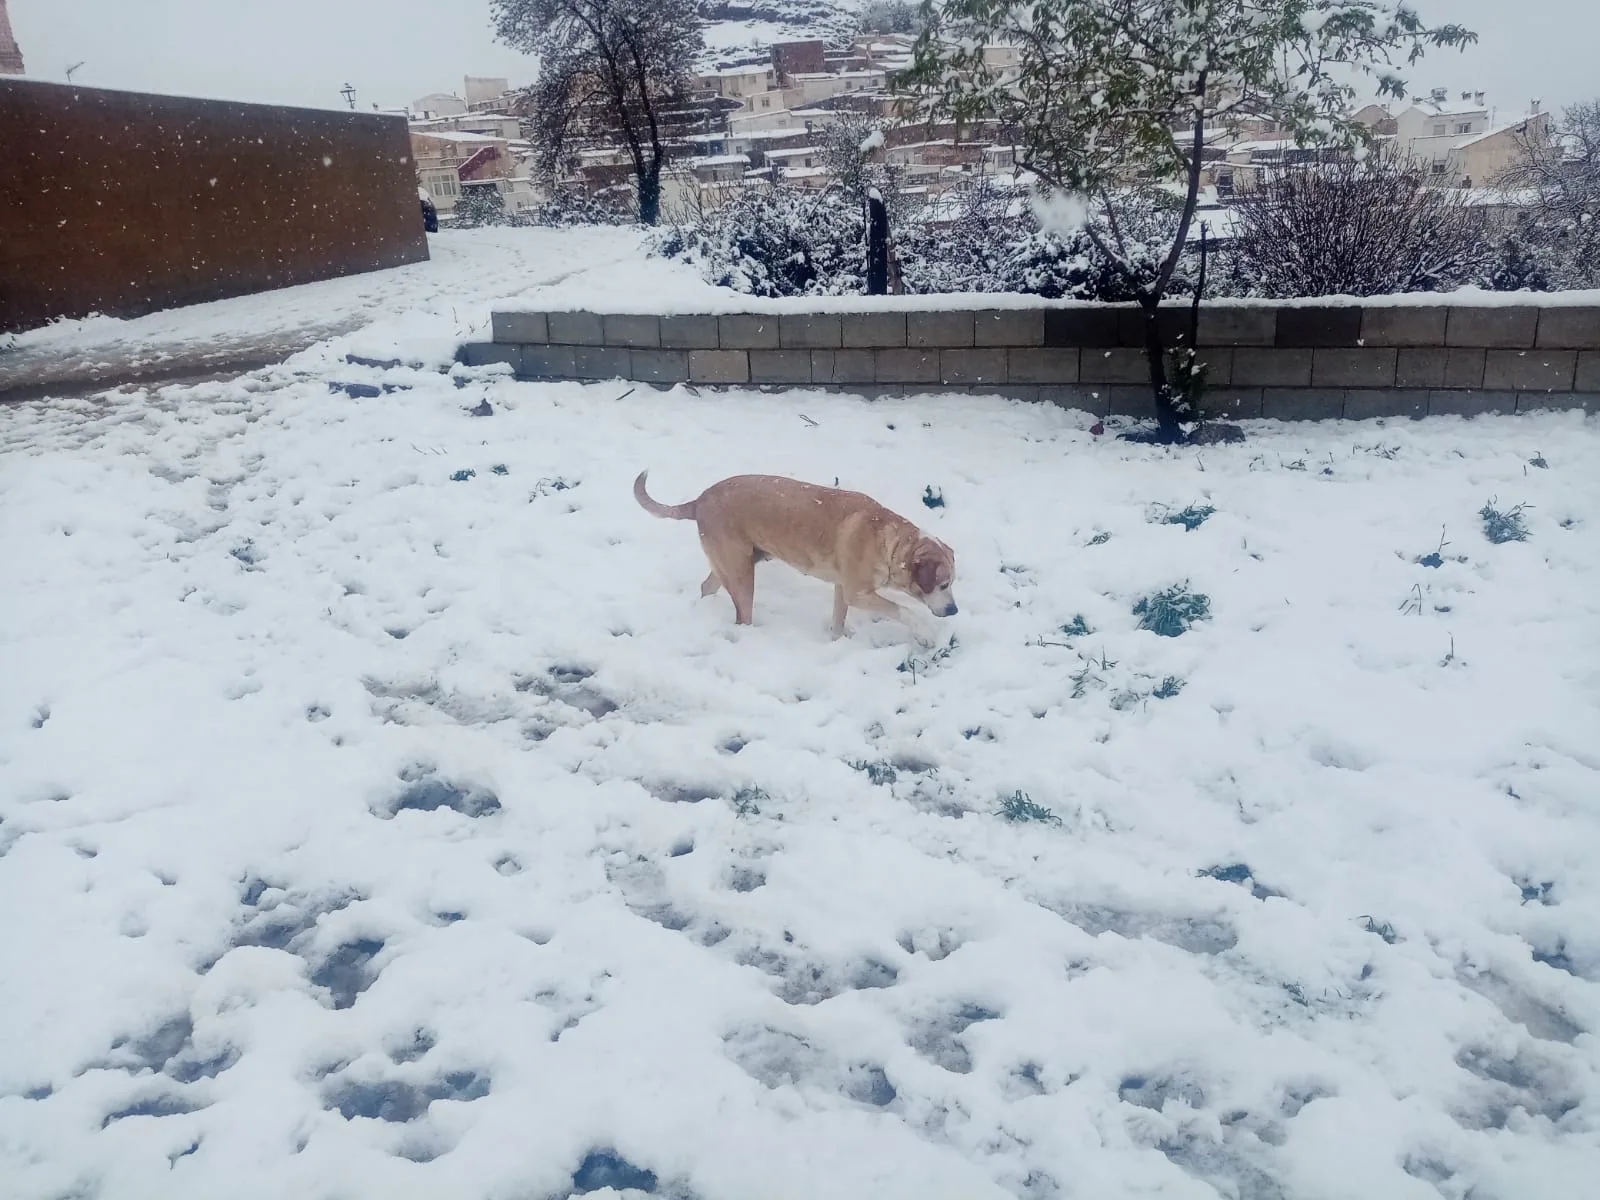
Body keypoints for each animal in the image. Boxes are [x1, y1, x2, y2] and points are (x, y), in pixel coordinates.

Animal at [633, 473, 953, 643]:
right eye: (943, 585)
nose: (954, 610)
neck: (891, 542)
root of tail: (698, 501)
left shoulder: (842, 590)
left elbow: (837, 623)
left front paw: (837, 642)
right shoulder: (857, 592)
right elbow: (903, 609)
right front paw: (925, 633)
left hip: (734, 564)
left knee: (706, 587)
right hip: (742, 576)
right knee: (742, 617)